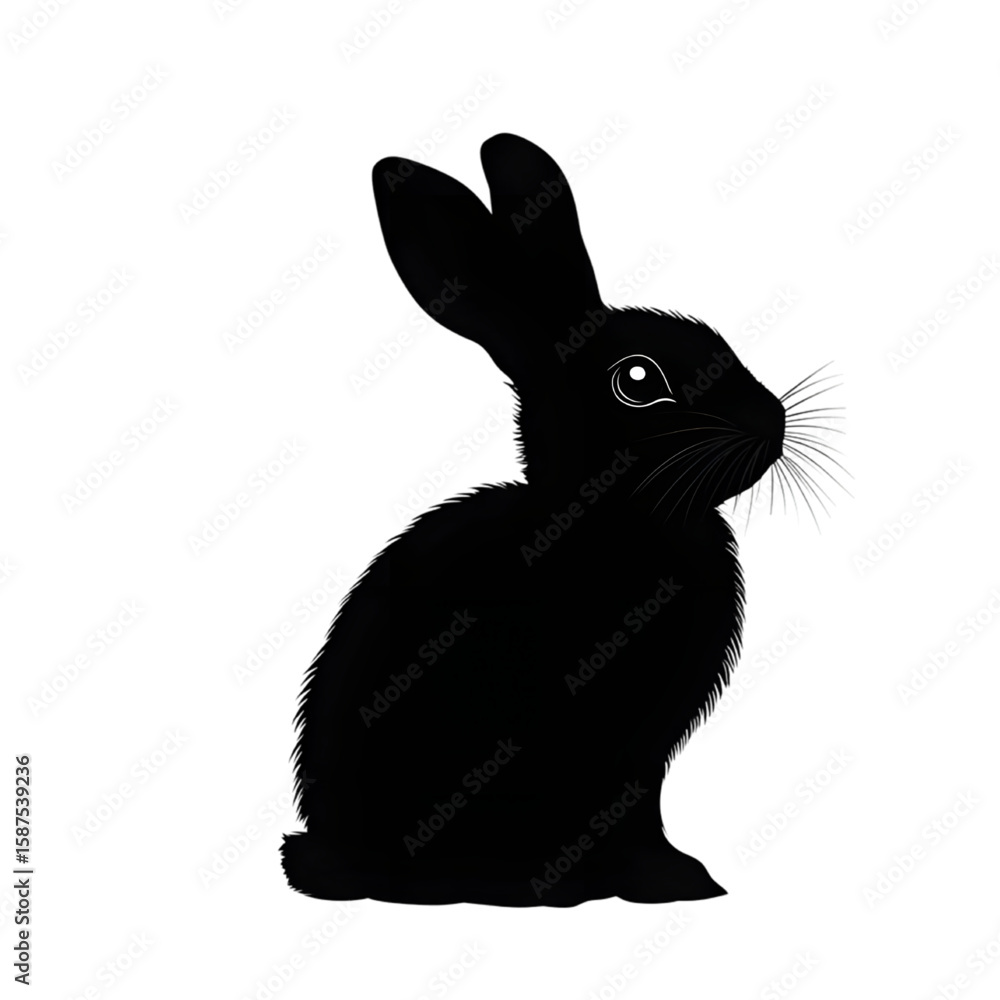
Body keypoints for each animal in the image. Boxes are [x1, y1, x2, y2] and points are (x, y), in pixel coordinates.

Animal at [282, 132, 827, 907]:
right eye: (639, 380)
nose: (773, 421)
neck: (609, 516)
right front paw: (669, 881)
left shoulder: (642, 758)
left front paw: (680, 877)